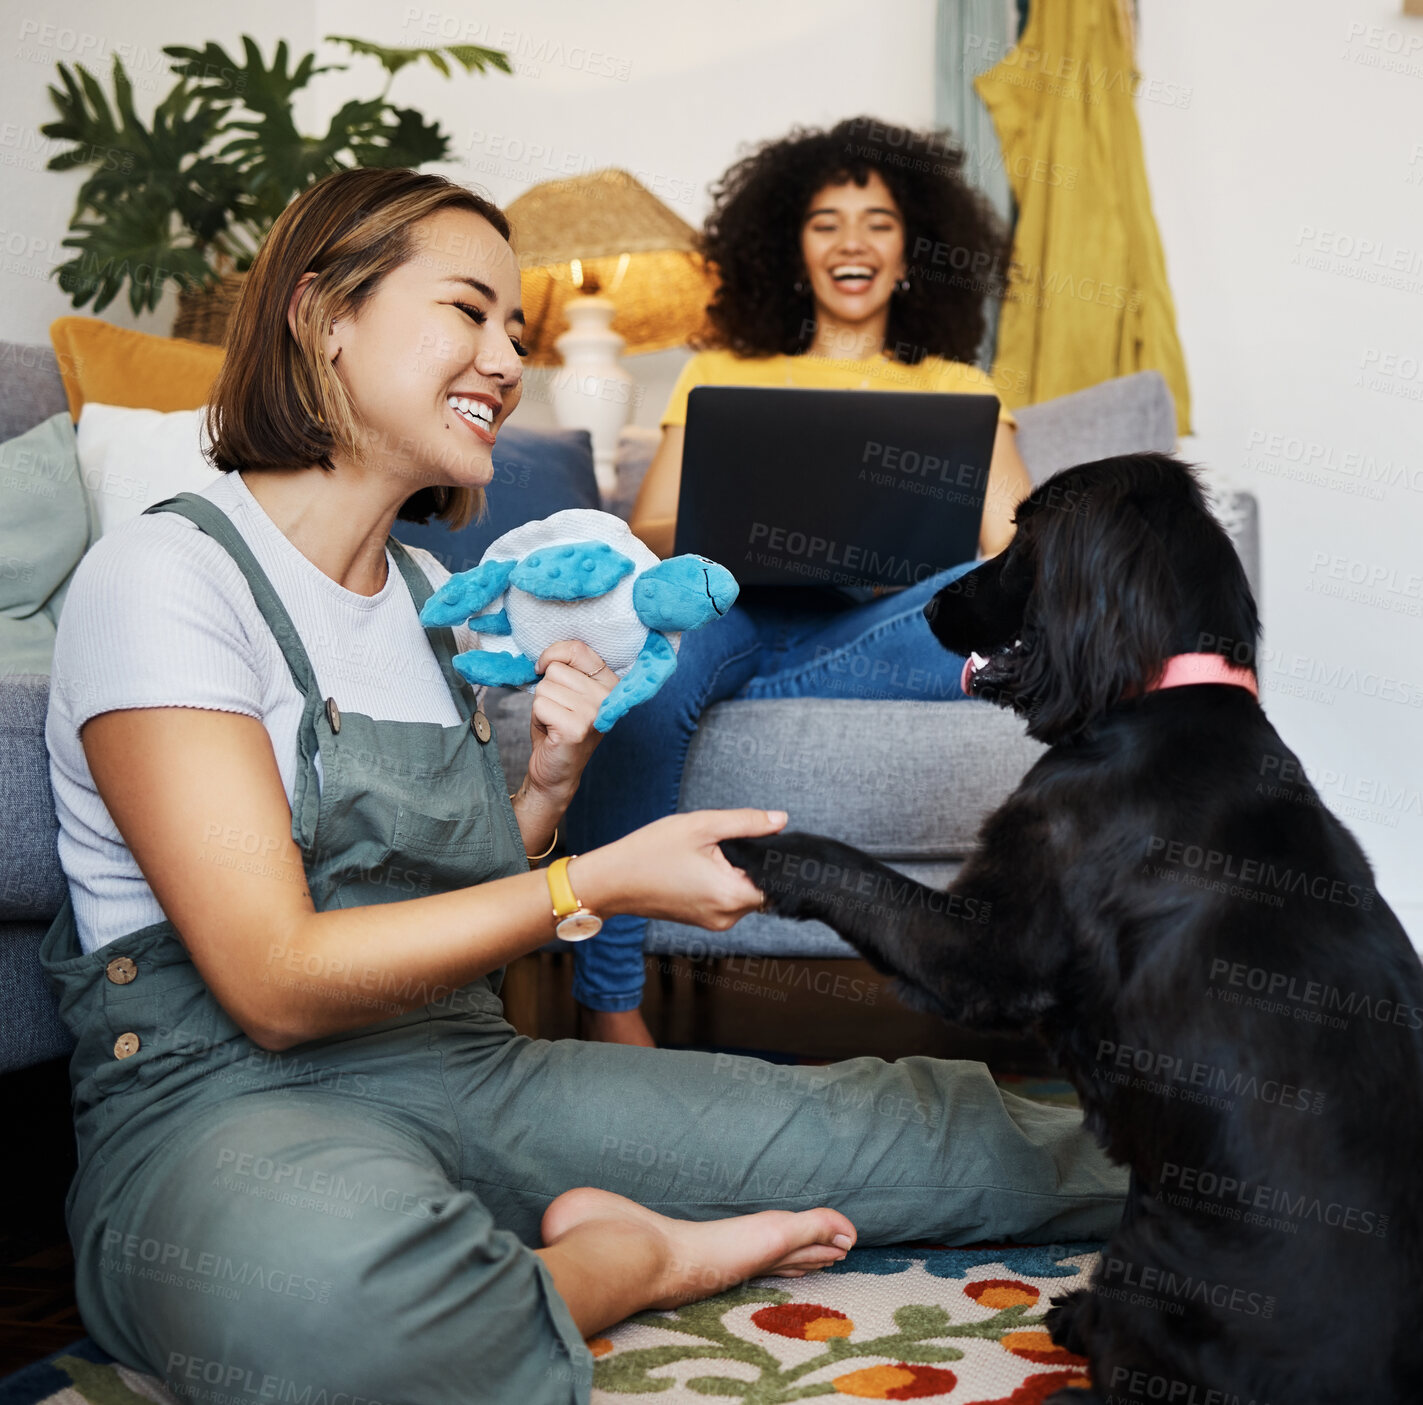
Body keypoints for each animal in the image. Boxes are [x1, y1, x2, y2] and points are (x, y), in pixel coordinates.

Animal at [722, 452, 1423, 1405]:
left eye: (1025, 535)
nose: (933, 606)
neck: (1160, 697)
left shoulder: (980, 948)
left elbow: (847, 867)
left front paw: (751, 846)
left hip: (1146, 1248)